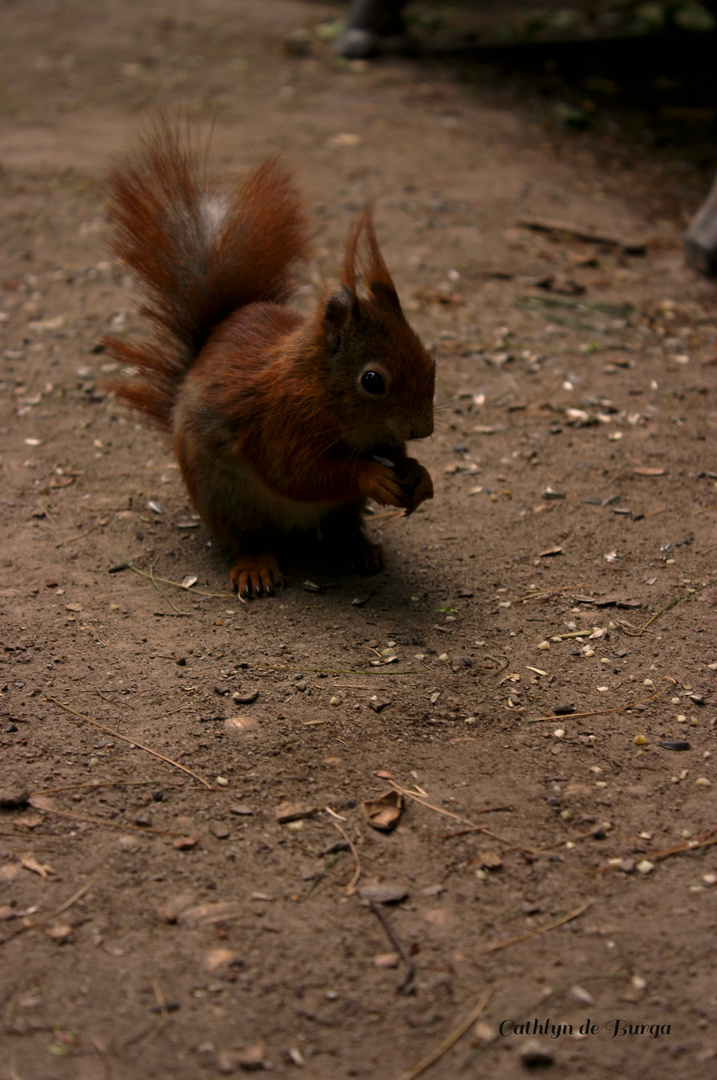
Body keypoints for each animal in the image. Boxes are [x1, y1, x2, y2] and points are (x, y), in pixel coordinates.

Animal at [105, 127, 431, 600]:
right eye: (372, 380)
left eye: (429, 357)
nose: (423, 429)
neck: (317, 385)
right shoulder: (280, 422)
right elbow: (298, 473)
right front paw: (371, 475)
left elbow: (391, 455)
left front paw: (419, 473)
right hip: (226, 496)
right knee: (250, 538)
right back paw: (256, 566)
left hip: (336, 510)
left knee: (340, 529)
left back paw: (359, 548)